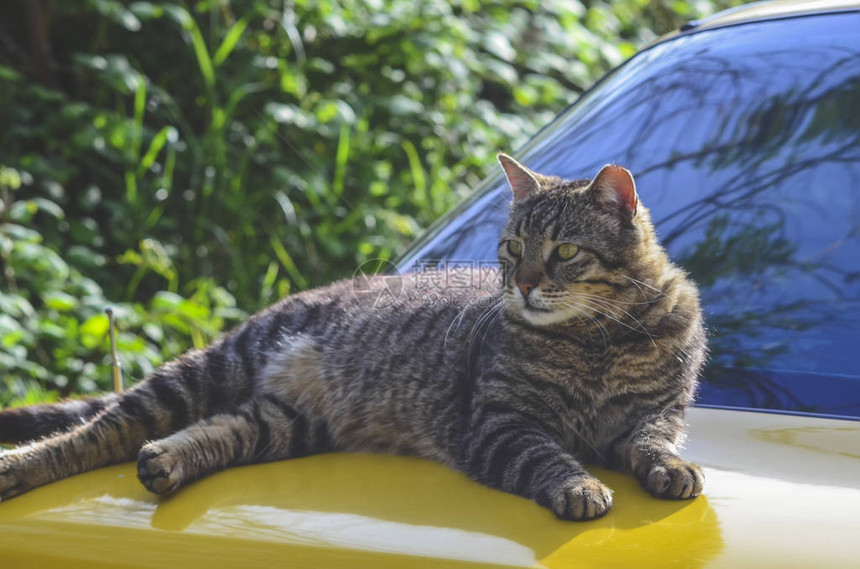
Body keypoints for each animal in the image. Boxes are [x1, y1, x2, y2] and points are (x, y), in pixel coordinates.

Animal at [0, 155, 704, 520]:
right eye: (512, 248)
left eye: (563, 252)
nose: (524, 283)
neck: (597, 340)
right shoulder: (499, 423)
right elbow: (548, 455)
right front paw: (580, 485)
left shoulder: (657, 412)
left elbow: (653, 440)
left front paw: (673, 468)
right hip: (208, 369)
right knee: (98, 432)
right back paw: (20, 467)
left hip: (287, 421)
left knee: (210, 431)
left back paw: (167, 463)